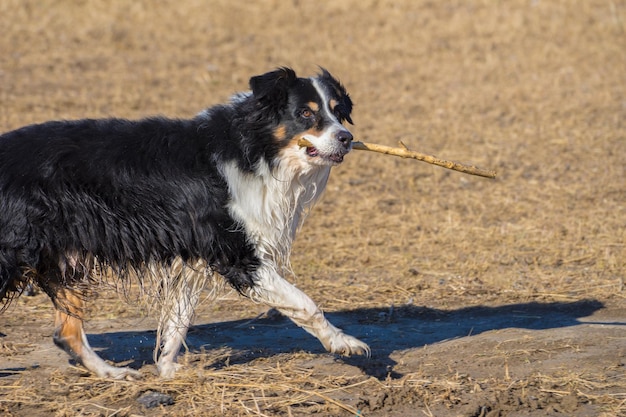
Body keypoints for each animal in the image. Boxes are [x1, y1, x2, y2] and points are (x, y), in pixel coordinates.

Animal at [0, 66, 368, 378]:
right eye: (305, 113)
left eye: (337, 111)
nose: (347, 138)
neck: (254, 148)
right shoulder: (238, 255)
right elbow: (305, 303)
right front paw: (344, 343)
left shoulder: (194, 255)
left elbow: (179, 320)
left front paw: (166, 369)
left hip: (67, 259)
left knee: (66, 332)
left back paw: (112, 373)